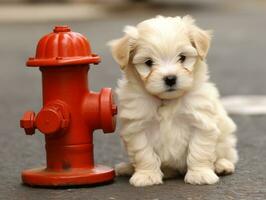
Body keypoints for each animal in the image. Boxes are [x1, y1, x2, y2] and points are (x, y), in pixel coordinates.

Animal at [109, 15, 238, 186]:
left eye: (182, 57)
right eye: (148, 62)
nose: (170, 78)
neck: (167, 100)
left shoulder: (201, 122)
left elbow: (199, 150)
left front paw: (200, 174)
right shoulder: (137, 127)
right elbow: (144, 153)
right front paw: (146, 175)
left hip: (225, 136)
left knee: (226, 153)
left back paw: (222, 165)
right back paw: (129, 168)